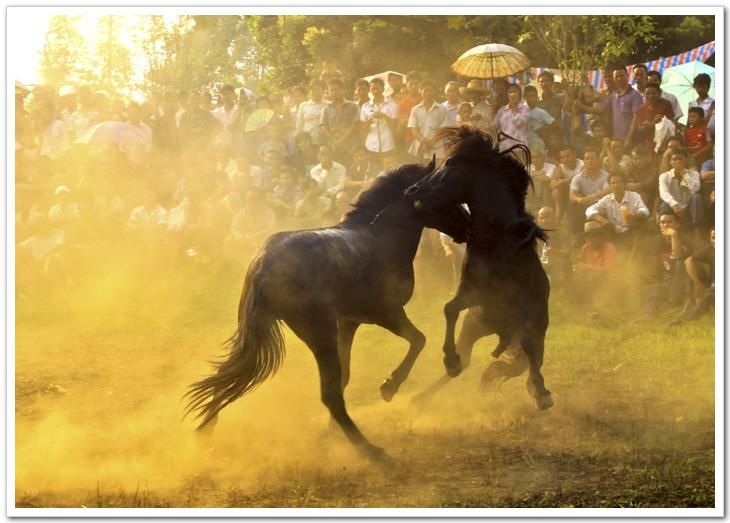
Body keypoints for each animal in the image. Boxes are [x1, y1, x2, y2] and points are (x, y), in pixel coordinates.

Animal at [185, 159, 471, 461]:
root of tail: (264, 264)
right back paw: (372, 452)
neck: (381, 236)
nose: (468, 227)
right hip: (318, 332)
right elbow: (418, 340)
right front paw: (390, 386)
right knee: (329, 394)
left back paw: (205, 431)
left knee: (226, 374)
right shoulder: (385, 313)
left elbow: (346, 373)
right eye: (443, 193)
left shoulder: (348, 321)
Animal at [404, 126, 554, 410]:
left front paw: (540, 391)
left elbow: (530, 349)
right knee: (470, 358)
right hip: (475, 325)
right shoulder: (471, 294)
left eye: (450, 162)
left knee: (531, 357)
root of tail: (501, 334)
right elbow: (449, 308)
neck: (496, 240)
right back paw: (421, 396)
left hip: (528, 327)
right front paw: (449, 360)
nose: (412, 189)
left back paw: (539, 391)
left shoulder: (511, 303)